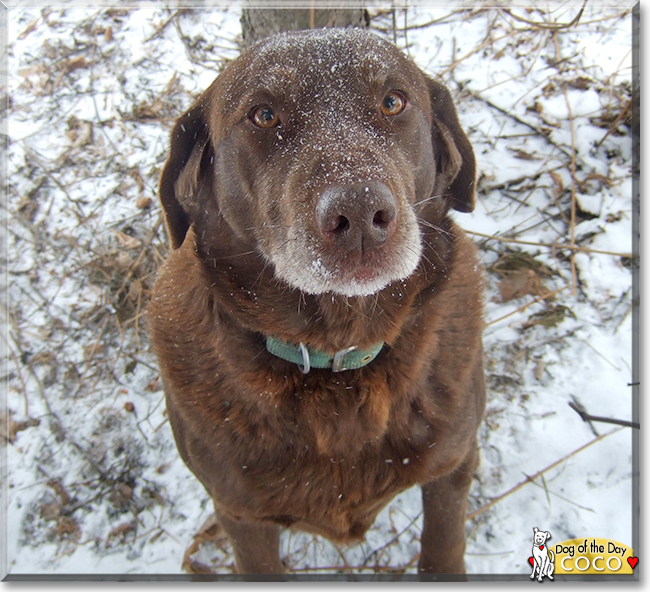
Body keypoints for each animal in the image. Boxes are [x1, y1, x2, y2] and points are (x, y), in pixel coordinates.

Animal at [147, 25, 480, 576]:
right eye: (264, 114)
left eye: (393, 101)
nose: (361, 212)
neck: (337, 357)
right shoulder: (243, 516)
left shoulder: (453, 468)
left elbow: (444, 546)